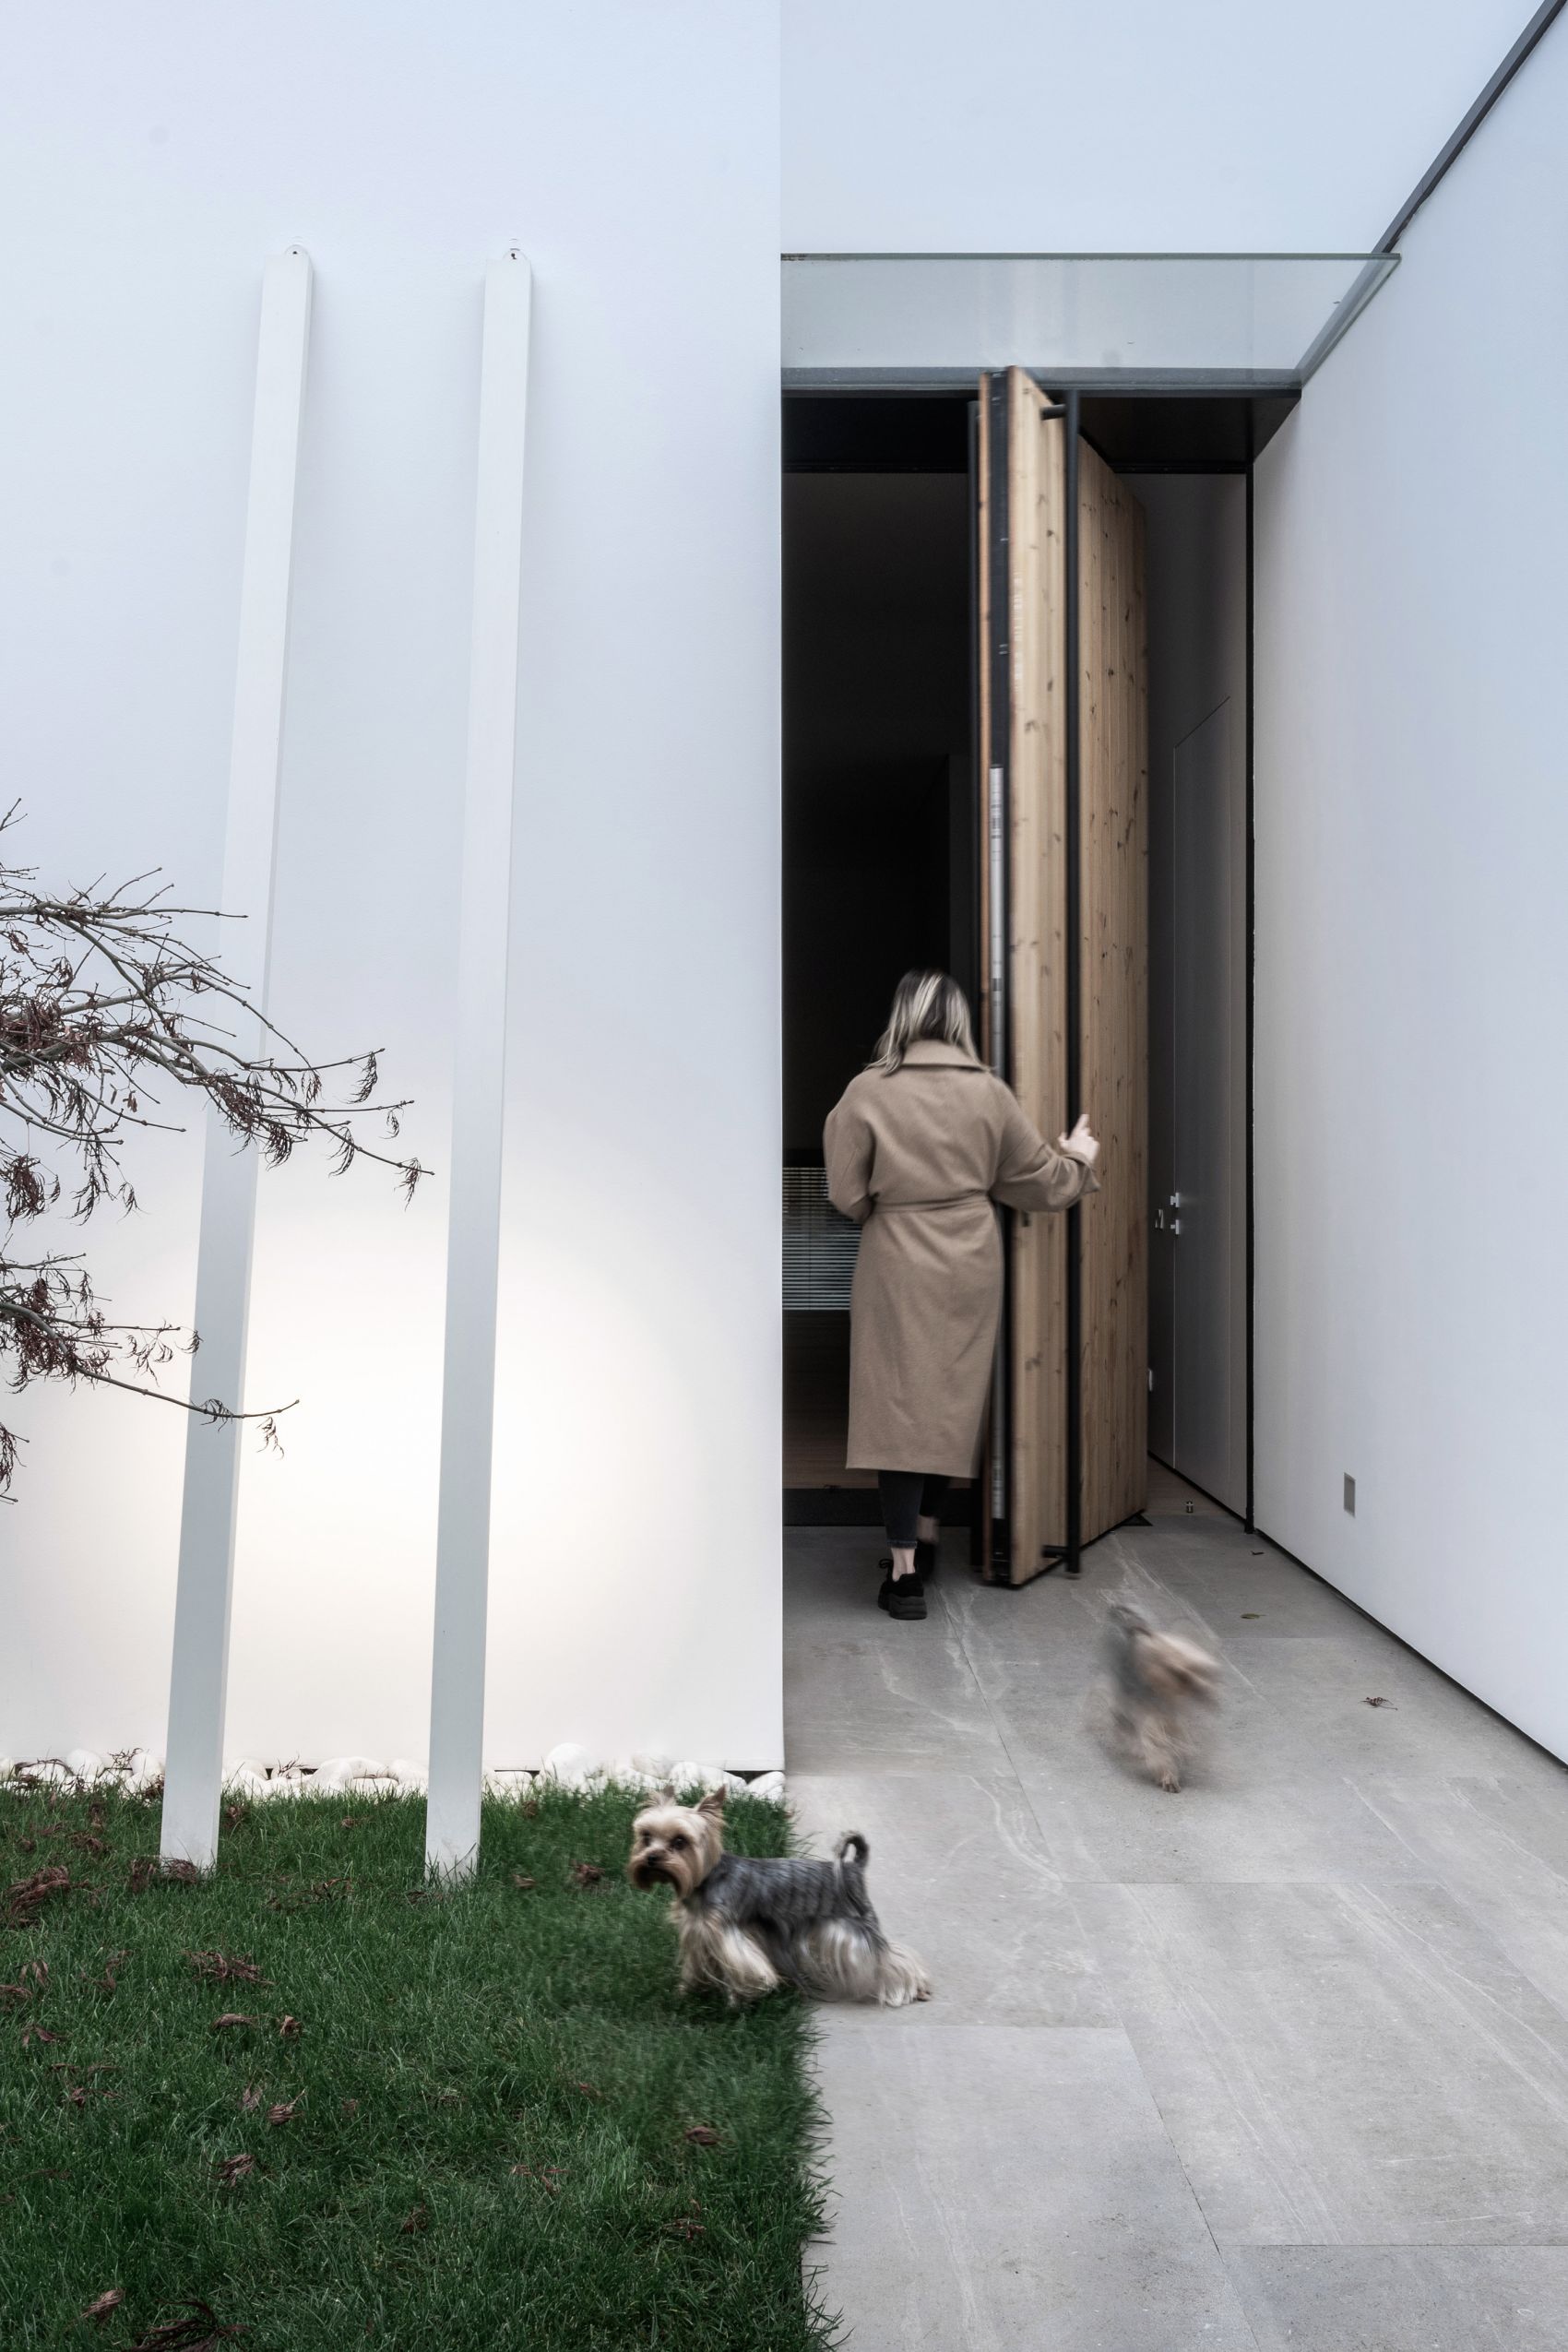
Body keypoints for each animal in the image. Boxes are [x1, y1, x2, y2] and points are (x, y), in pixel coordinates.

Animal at [626, 1787, 931, 2008]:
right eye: (646, 1837)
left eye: (680, 1841)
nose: (651, 1858)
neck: (707, 1878)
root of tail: (853, 1868)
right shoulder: (698, 1931)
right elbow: (695, 1966)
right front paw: (687, 1992)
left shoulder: (726, 1934)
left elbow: (748, 1968)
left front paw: (739, 2000)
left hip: (855, 1927)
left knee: (889, 1956)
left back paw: (911, 1990)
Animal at [1099, 1600, 1220, 1792]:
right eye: (1185, 1676)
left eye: (1207, 1672)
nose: (1210, 1691)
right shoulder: (1152, 1722)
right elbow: (1157, 1748)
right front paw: (1168, 1776)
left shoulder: (1174, 1718)